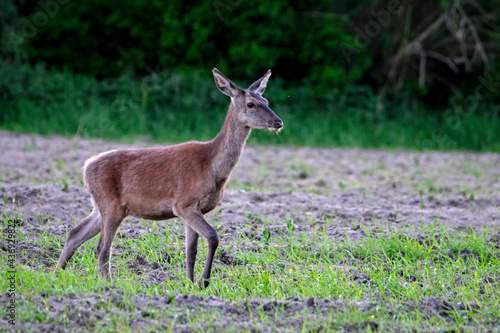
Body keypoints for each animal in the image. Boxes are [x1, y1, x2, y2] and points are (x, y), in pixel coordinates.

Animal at [56, 67, 284, 286]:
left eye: (267, 101)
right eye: (251, 104)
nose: (278, 122)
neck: (211, 168)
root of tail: (86, 168)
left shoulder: (196, 208)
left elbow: (191, 251)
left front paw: (190, 284)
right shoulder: (183, 202)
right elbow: (213, 237)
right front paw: (203, 282)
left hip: (103, 205)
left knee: (75, 234)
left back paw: (57, 275)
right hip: (110, 203)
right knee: (102, 248)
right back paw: (108, 285)